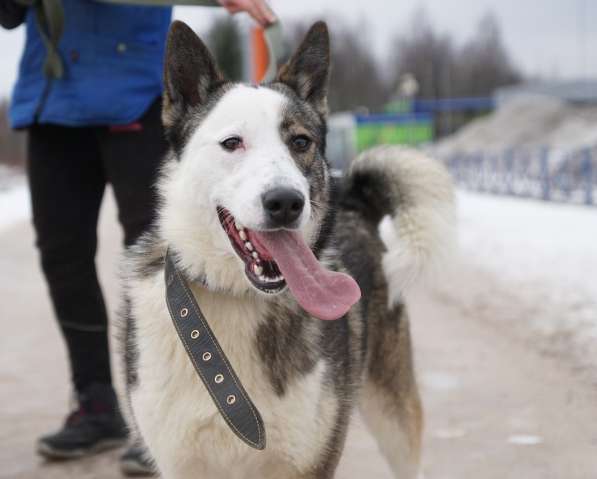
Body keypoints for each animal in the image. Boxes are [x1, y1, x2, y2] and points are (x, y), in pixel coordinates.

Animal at [120, 19, 456, 479]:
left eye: (300, 142)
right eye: (232, 143)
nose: (286, 202)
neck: (235, 298)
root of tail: (356, 203)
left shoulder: (310, 460)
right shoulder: (179, 462)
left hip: (393, 411)